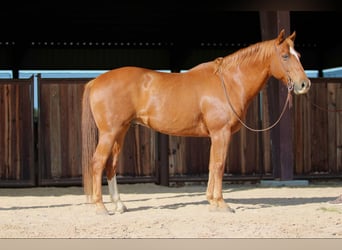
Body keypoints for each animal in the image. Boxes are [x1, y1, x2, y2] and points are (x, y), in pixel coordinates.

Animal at [82, 28, 310, 214]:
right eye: (285, 56)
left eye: (298, 55)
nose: (304, 84)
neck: (229, 82)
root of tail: (96, 81)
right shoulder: (221, 133)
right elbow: (218, 165)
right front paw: (221, 203)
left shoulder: (216, 136)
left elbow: (211, 165)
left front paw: (211, 201)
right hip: (109, 133)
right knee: (97, 163)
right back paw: (100, 207)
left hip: (120, 132)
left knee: (111, 164)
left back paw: (119, 205)